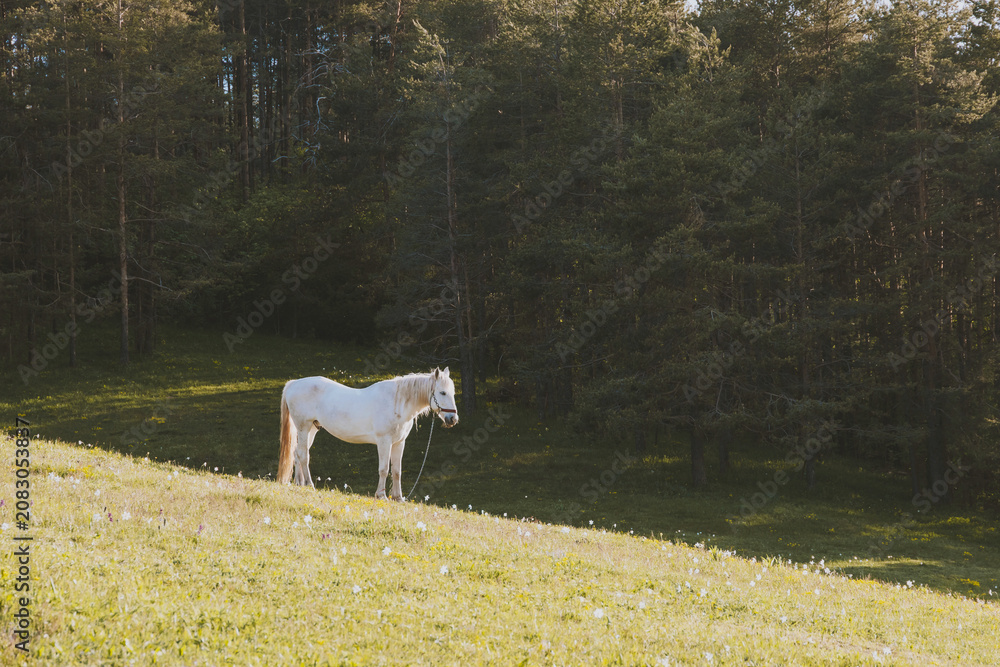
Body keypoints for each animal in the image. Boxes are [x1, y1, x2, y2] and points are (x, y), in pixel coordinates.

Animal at [277, 367, 459, 500]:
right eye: (442, 392)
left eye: (453, 393)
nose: (453, 419)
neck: (396, 403)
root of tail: (293, 384)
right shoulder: (384, 441)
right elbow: (384, 469)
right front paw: (381, 496)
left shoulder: (399, 443)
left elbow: (397, 470)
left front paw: (398, 498)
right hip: (303, 427)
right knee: (303, 454)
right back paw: (309, 484)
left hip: (312, 429)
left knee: (297, 453)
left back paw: (299, 483)